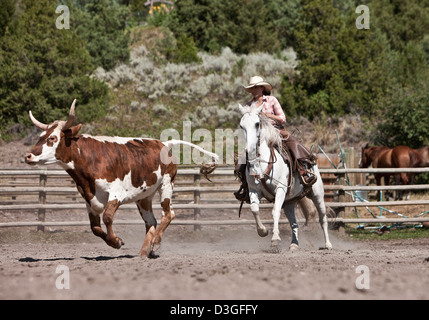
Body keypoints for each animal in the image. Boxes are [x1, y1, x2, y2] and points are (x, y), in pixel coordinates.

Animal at [24, 100, 217, 258]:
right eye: (40, 137)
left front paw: (116, 241)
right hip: (144, 197)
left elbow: (108, 218)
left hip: (167, 185)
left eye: (52, 138)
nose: (28, 156)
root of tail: (164, 144)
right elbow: (95, 228)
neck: (90, 160)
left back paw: (155, 242)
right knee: (151, 221)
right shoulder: (89, 200)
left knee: (168, 214)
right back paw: (144, 252)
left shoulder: (116, 194)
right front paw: (115, 241)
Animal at [237, 104, 332, 251]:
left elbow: (275, 211)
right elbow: (254, 209)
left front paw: (275, 239)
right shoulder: (254, 191)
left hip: (317, 194)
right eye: (242, 126)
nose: (249, 149)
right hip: (289, 202)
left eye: (257, 124)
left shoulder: (280, 189)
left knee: (323, 218)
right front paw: (263, 231)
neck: (261, 164)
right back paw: (294, 244)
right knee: (294, 223)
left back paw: (327, 244)